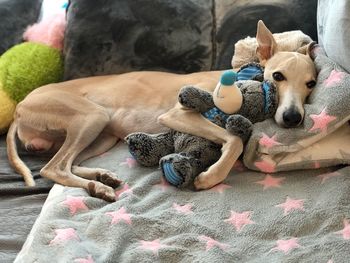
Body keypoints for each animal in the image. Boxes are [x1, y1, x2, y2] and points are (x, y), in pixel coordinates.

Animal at [6, 20, 316, 202]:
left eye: (311, 83)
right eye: (277, 76)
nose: (292, 118)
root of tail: (20, 108)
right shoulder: (177, 114)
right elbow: (235, 140)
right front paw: (210, 176)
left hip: (102, 132)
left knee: (69, 163)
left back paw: (100, 179)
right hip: (90, 116)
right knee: (53, 167)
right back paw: (98, 186)